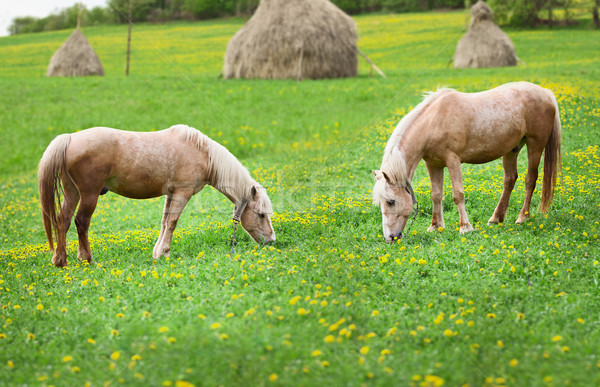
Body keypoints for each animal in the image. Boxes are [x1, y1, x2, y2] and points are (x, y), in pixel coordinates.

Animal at [39, 124, 276, 266]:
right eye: (261, 214)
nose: (271, 240)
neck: (203, 154)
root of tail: (70, 138)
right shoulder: (182, 193)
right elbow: (172, 222)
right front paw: (165, 252)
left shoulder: (170, 194)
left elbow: (164, 222)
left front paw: (158, 252)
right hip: (89, 194)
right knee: (81, 221)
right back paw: (86, 258)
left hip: (72, 192)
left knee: (63, 220)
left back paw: (60, 260)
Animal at [372, 82, 560, 242]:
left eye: (391, 201)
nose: (390, 238)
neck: (434, 122)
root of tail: (546, 93)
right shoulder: (433, 164)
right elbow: (436, 195)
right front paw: (435, 227)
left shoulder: (453, 161)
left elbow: (458, 195)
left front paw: (465, 227)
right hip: (511, 150)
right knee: (510, 179)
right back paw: (495, 219)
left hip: (535, 145)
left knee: (531, 179)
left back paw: (522, 217)